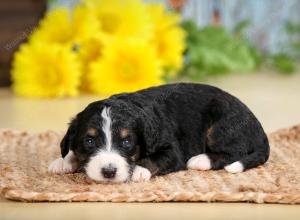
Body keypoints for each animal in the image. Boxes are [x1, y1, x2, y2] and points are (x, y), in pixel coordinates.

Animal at [47, 83, 270, 183]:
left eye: (126, 142)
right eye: (90, 141)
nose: (109, 172)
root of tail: (259, 128)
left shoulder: (173, 150)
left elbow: (154, 159)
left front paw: (138, 170)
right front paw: (62, 162)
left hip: (219, 127)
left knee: (235, 151)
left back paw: (200, 160)